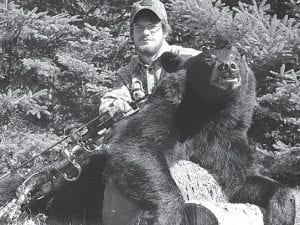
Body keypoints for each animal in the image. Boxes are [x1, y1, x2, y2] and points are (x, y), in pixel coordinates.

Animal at [105, 46, 296, 224]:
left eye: (237, 58)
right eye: (208, 60)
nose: (229, 66)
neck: (209, 109)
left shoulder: (225, 135)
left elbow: (242, 178)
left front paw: (283, 212)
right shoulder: (170, 113)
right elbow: (139, 146)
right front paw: (167, 214)